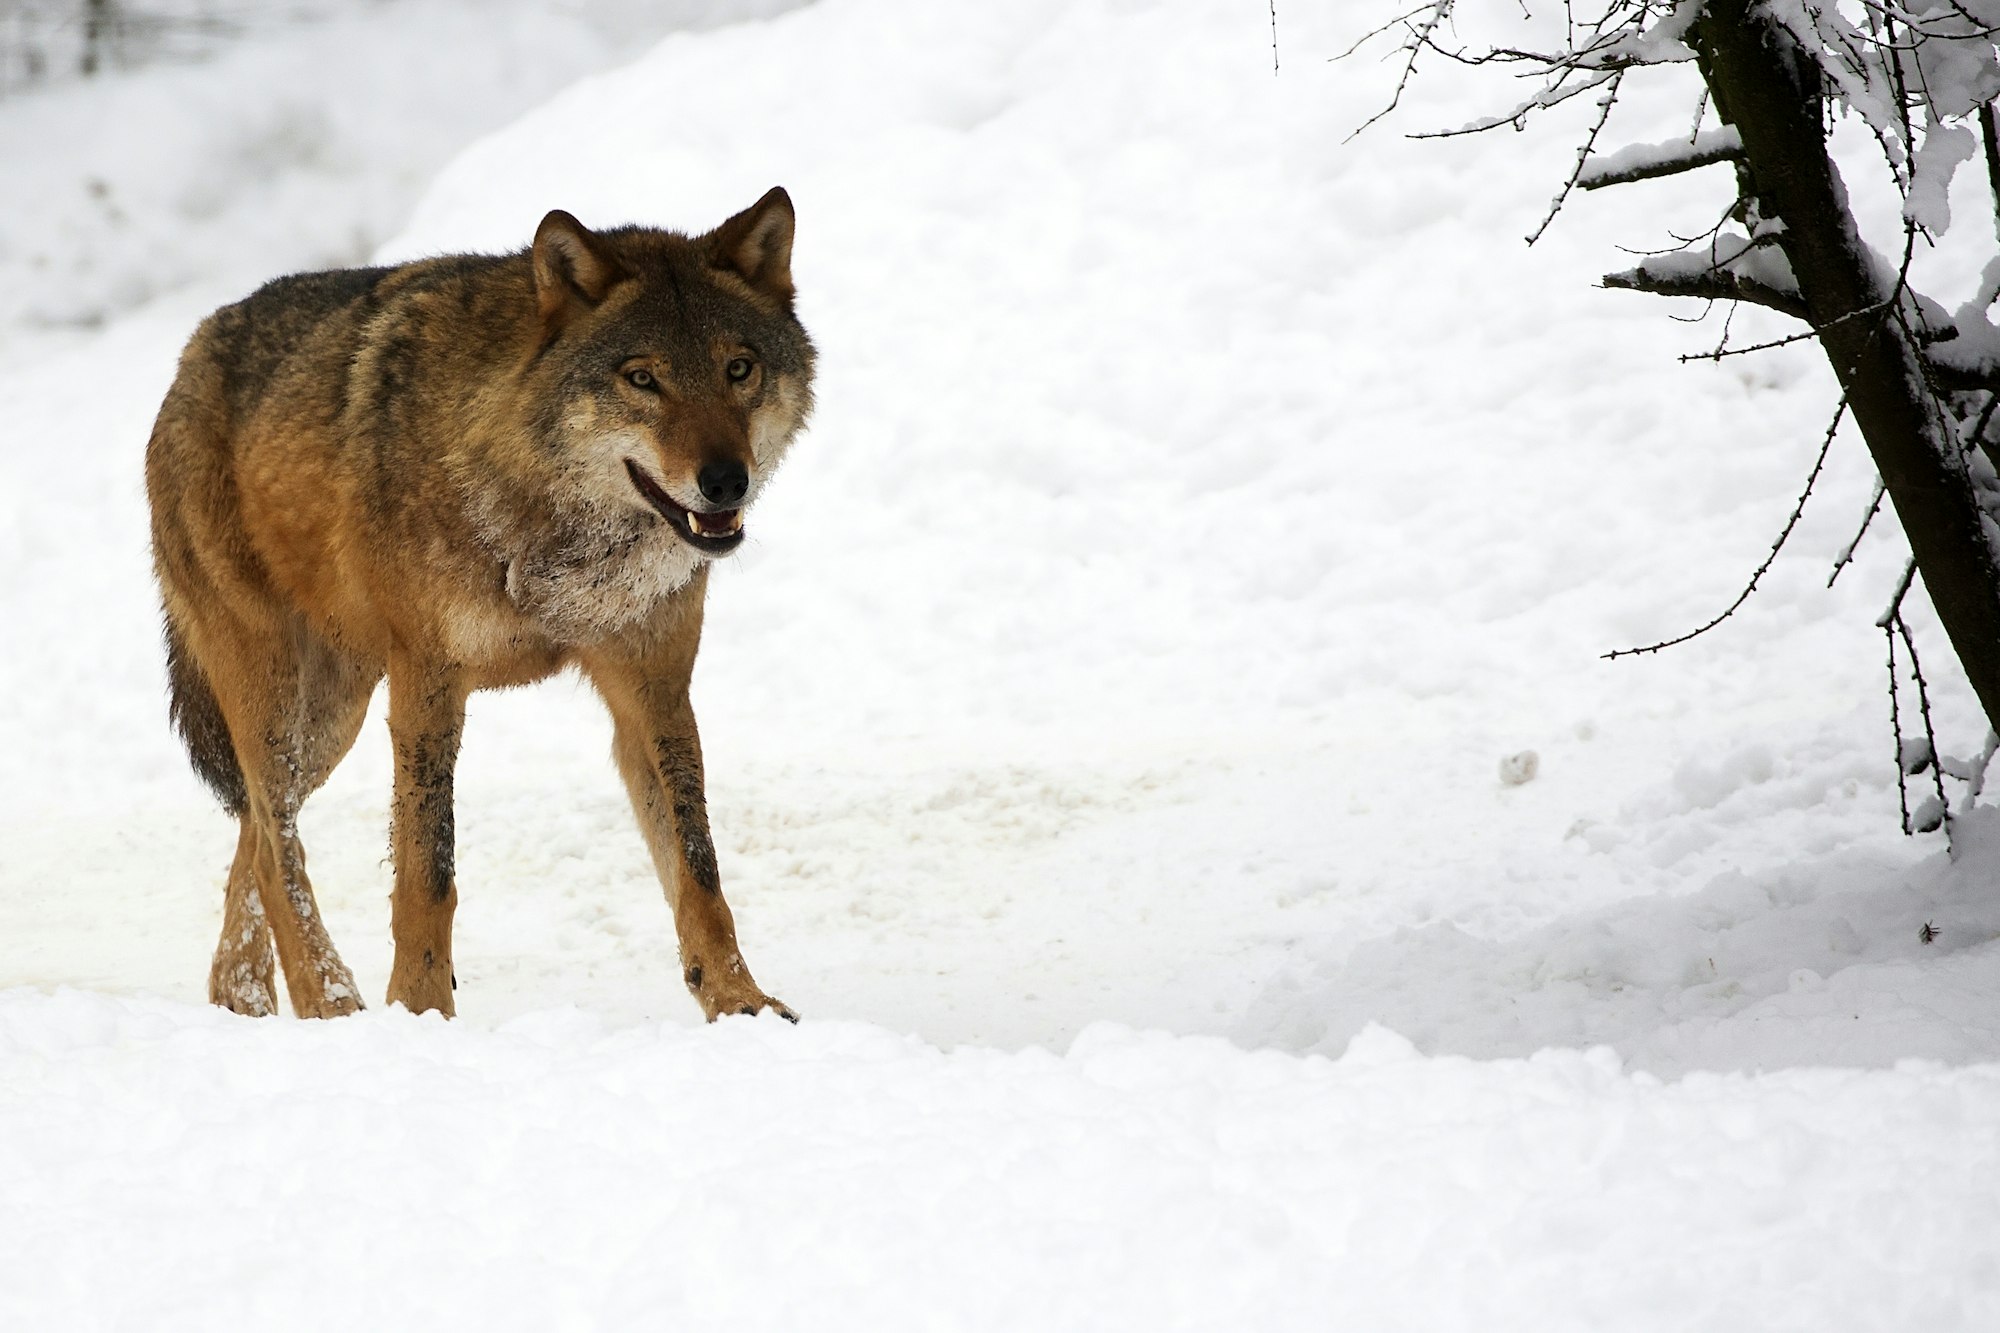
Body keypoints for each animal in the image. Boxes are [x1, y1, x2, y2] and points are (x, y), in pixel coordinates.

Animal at [143, 187, 812, 1016]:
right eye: (642, 379)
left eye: (739, 369)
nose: (725, 481)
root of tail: (195, 346)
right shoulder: (428, 684)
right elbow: (428, 873)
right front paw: (421, 1008)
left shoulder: (653, 686)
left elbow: (699, 865)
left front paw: (738, 1001)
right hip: (279, 688)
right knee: (273, 846)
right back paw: (332, 1002)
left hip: (331, 716)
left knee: (257, 830)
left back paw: (245, 999)